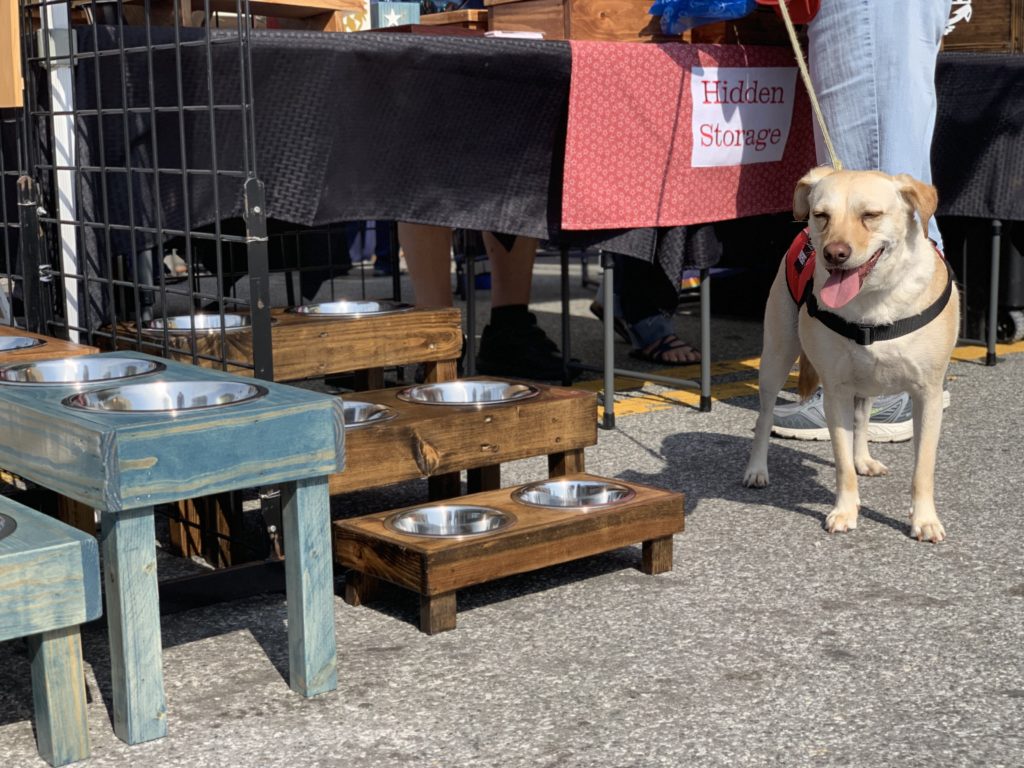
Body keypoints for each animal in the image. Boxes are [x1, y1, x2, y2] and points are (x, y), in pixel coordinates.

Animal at [745, 167, 958, 540]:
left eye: (870, 215)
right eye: (821, 215)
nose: (835, 253)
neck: (874, 301)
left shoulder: (928, 395)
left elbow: (923, 469)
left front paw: (924, 519)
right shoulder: (836, 393)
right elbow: (841, 464)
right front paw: (845, 511)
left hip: (868, 381)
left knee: (862, 418)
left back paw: (864, 460)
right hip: (776, 357)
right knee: (765, 416)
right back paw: (757, 469)